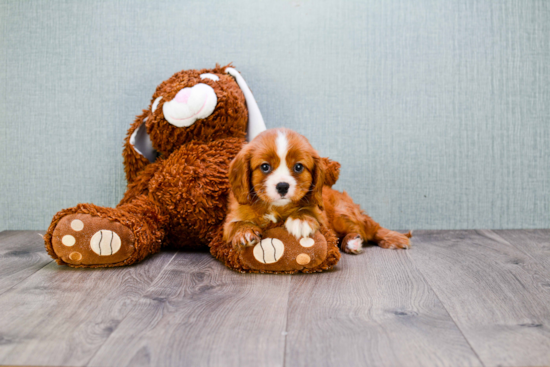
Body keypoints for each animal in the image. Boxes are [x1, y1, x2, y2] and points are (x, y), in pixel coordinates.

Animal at [222, 129, 412, 253]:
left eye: (298, 167)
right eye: (265, 167)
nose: (282, 186)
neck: (277, 208)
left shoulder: (322, 216)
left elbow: (310, 213)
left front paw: (300, 220)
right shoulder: (232, 217)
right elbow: (235, 225)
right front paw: (244, 232)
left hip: (342, 213)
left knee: (370, 227)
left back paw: (393, 238)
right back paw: (351, 242)